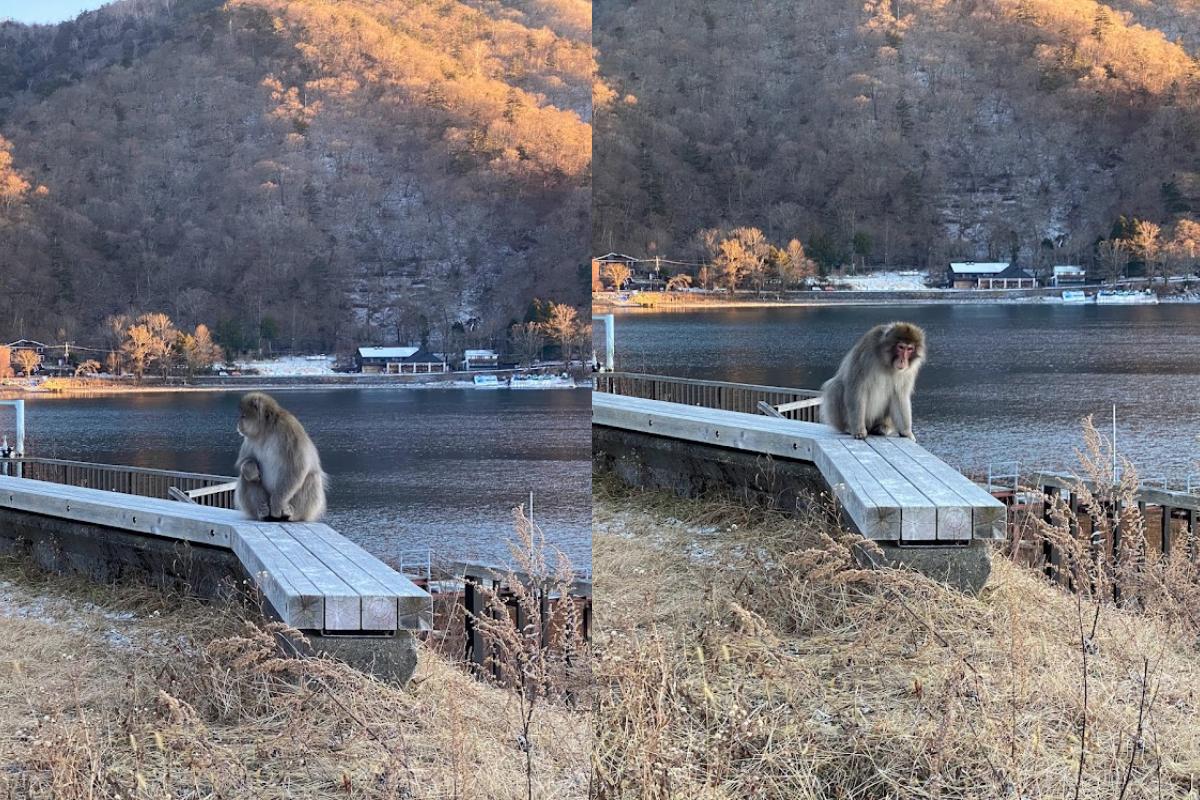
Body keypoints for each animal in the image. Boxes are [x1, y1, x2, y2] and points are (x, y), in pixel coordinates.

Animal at [232, 391, 328, 522]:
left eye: (243, 416)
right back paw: (262, 511)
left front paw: (277, 504)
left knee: (312, 478)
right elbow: (244, 461)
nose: (238, 425)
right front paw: (250, 468)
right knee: (246, 477)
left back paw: (292, 514)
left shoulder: (288, 429)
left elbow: (297, 467)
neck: (266, 430)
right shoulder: (250, 438)